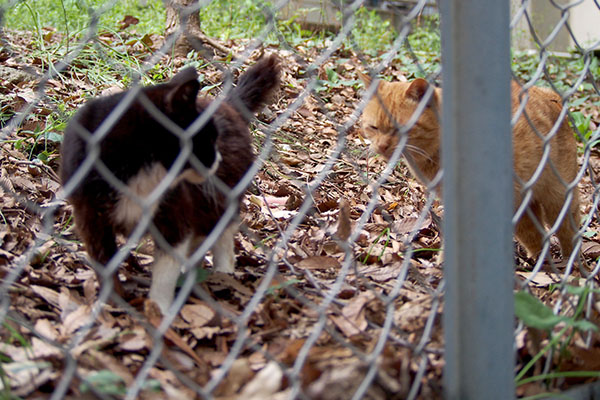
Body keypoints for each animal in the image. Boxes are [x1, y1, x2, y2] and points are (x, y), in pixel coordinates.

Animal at [62, 55, 282, 312]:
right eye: (209, 139)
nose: (218, 159)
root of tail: (226, 105)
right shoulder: (90, 216)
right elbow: (104, 264)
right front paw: (110, 302)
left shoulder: (174, 212)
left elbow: (166, 270)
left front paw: (158, 309)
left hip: (220, 196)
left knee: (222, 233)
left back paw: (223, 271)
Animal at [358, 72, 580, 260]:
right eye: (374, 127)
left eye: (400, 128)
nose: (382, 146)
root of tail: (549, 94)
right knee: (535, 236)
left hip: (558, 198)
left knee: (569, 233)